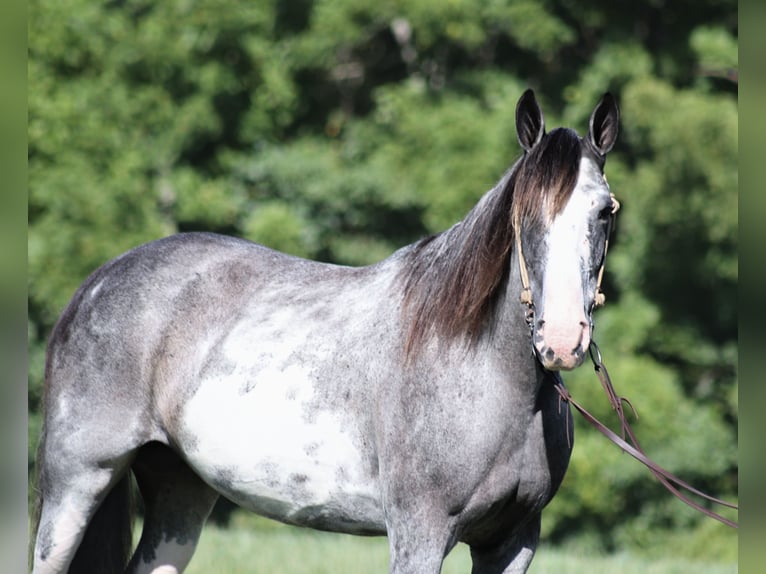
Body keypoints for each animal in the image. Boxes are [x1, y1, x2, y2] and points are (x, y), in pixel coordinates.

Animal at [30, 89, 619, 574]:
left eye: (605, 212)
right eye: (524, 213)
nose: (560, 340)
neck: (483, 375)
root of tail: (97, 282)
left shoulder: (512, 542)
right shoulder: (420, 535)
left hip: (180, 492)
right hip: (76, 485)